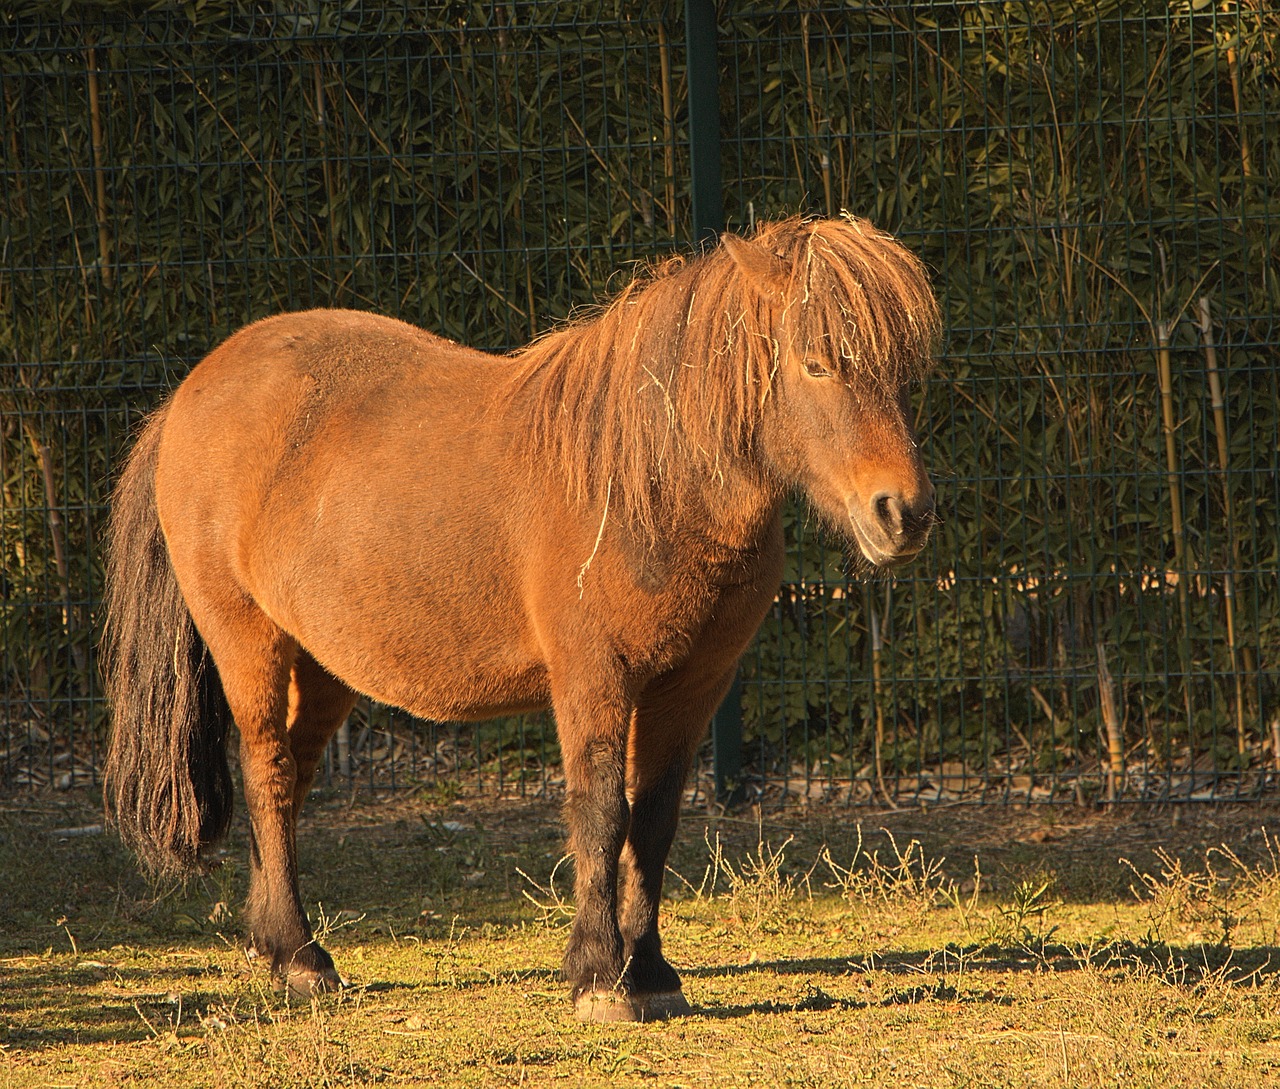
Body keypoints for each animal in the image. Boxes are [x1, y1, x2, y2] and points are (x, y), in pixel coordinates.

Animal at [102, 218, 942, 1023]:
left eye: (905, 374)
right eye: (817, 364)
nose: (901, 513)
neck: (647, 484)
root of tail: (190, 392)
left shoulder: (691, 687)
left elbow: (655, 820)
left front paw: (652, 974)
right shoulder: (594, 678)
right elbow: (602, 812)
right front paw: (600, 976)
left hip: (325, 663)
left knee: (292, 780)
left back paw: (274, 948)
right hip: (249, 641)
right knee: (268, 771)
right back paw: (302, 957)